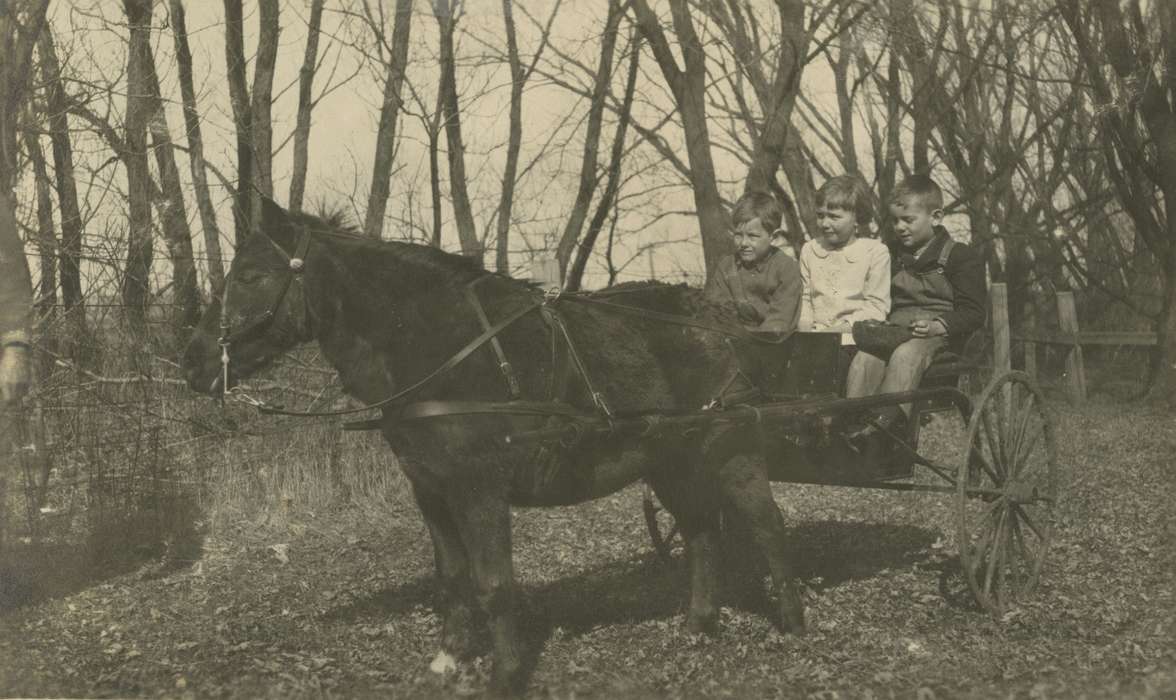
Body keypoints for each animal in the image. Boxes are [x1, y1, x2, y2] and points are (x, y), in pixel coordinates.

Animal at [183, 198, 804, 696]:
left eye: (251, 276)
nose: (192, 363)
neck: (440, 347)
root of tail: (718, 318)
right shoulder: (430, 489)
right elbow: (453, 578)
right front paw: (448, 659)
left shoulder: (478, 490)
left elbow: (494, 584)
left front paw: (504, 675)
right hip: (668, 459)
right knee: (700, 530)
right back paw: (699, 623)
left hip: (732, 450)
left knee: (767, 524)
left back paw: (793, 622)